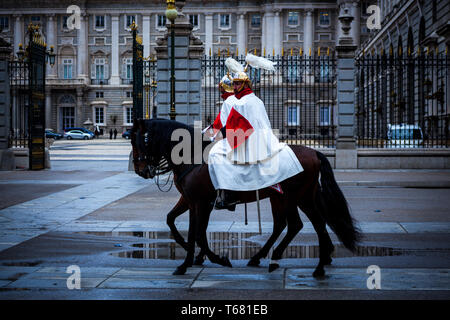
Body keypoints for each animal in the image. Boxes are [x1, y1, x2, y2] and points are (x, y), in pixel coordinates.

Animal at [131, 119, 362, 276]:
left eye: (139, 141)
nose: (140, 170)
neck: (192, 157)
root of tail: (314, 152)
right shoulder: (191, 200)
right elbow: (177, 223)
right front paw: (194, 257)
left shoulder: (201, 202)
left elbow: (197, 232)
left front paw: (203, 260)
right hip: (289, 197)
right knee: (290, 224)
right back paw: (267, 257)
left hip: (296, 197)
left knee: (311, 225)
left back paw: (316, 267)